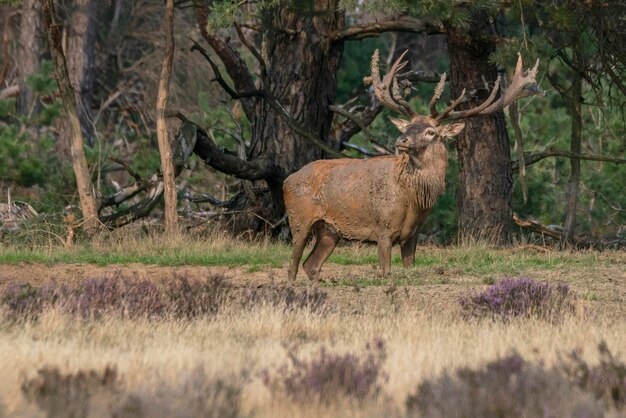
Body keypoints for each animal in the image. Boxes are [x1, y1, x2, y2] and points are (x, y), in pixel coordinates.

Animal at [280, 50, 540, 282]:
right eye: (407, 127)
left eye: (430, 131)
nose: (401, 140)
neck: (412, 198)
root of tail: (287, 180)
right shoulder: (383, 228)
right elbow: (386, 272)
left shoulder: (413, 233)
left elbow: (408, 268)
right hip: (299, 218)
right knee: (293, 265)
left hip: (329, 230)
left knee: (311, 265)